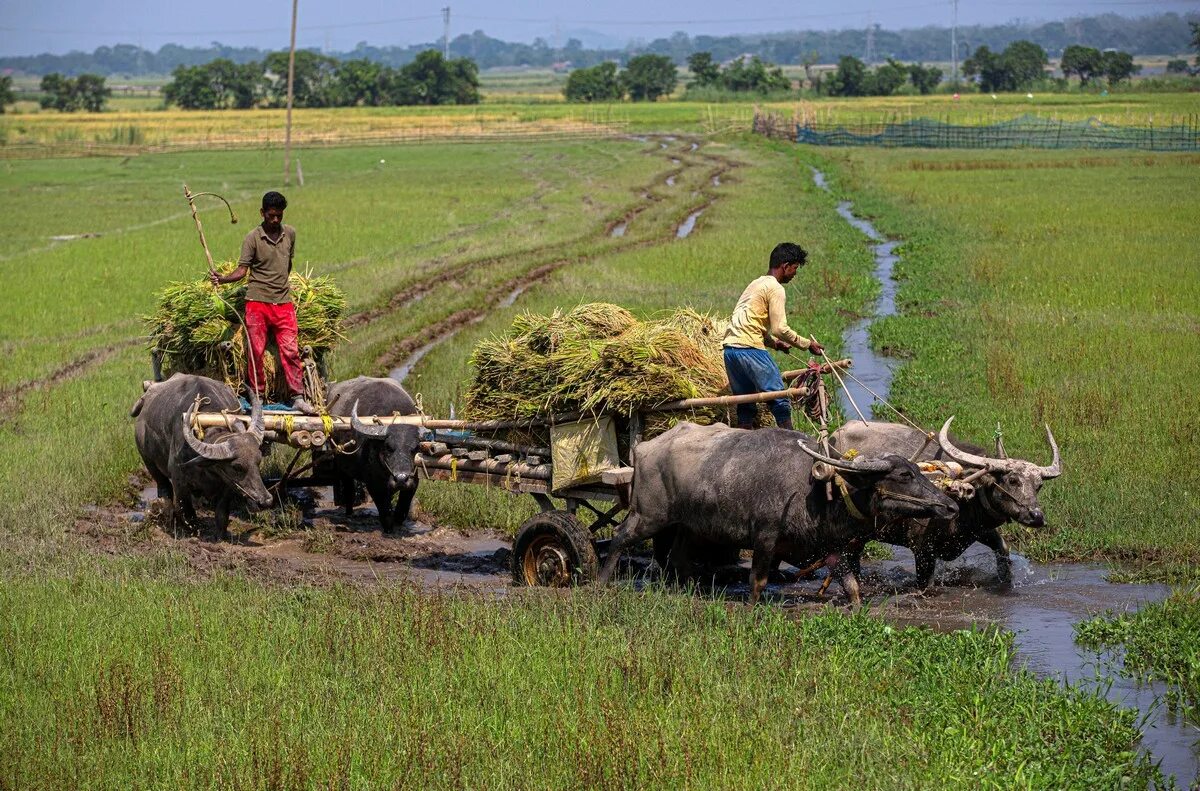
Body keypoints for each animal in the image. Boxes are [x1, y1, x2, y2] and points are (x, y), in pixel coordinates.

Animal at [131, 374, 272, 542]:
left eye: (258, 461)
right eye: (236, 467)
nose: (266, 501)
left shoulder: (227, 484)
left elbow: (222, 513)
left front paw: (220, 536)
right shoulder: (179, 482)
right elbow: (187, 513)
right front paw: (193, 533)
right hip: (149, 462)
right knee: (164, 490)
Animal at [314, 376, 422, 532]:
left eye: (415, 448)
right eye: (388, 447)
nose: (401, 479)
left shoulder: (413, 479)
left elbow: (404, 503)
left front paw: (399, 519)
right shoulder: (373, 484)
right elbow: (383, 508)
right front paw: (388, 527)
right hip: (341, 465)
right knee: (348, 487)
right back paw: (349, 511)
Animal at [597, 424, 955, 602]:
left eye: (917, 470)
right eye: (904, 475)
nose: (949, 506)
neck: (815, 489)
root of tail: (644, 448)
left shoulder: (833, 549)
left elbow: (852, 586)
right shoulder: (765, 538)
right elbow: (758, 582)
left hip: (689, 525)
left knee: (678, 557)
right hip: (648, 516)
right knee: (619, 536)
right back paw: (601, 581)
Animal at [830, 417, 1065, 590]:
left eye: (1038, 485)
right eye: (1013, 480)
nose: (1036, 517)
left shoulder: (979, 530)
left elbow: (1003, 550)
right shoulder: (923, 550)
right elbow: (927, 584)